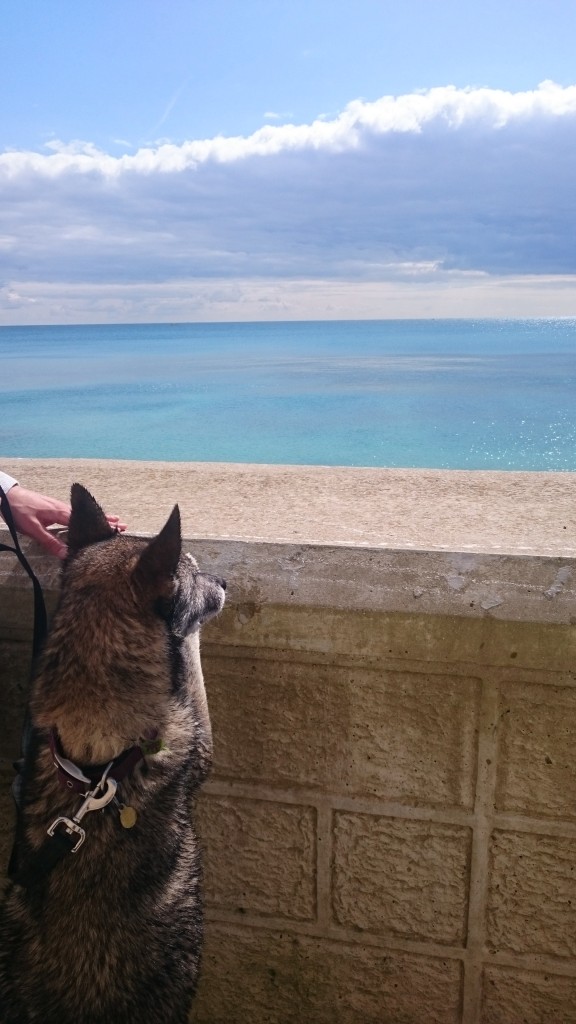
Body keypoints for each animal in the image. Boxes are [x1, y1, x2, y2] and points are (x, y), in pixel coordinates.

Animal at [0, 485, 225, 1024]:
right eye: (193, 568)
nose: (225, 581)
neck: (96, 760)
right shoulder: (196, 745)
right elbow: (189, 660)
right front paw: (187, 627)